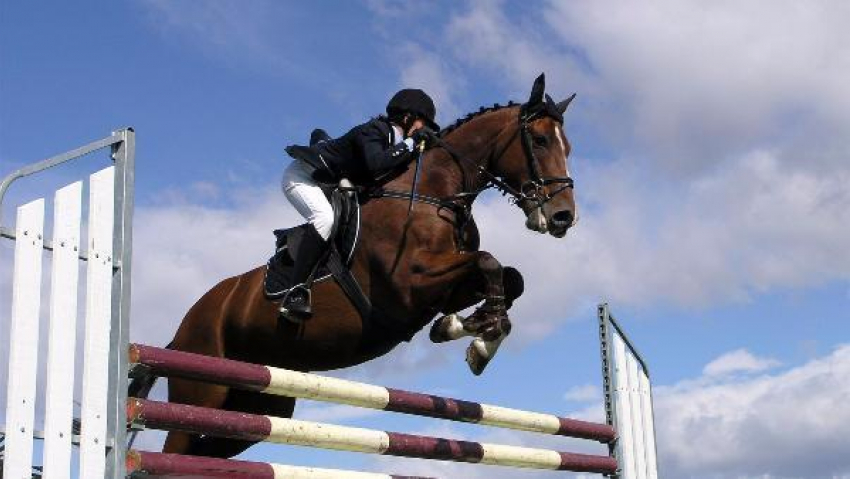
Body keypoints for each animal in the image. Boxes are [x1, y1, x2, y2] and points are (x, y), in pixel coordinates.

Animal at [154, 74, 576, 458]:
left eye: (567, 146)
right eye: (540, 141)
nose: (563, 217)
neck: (435, 192)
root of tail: (181, 329)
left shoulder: (444, 290)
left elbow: (510, 277)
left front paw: (469, 329)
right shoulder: (410, 286)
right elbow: (490, 263)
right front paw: (480, 340)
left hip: (260, 403)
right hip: (202, 389)